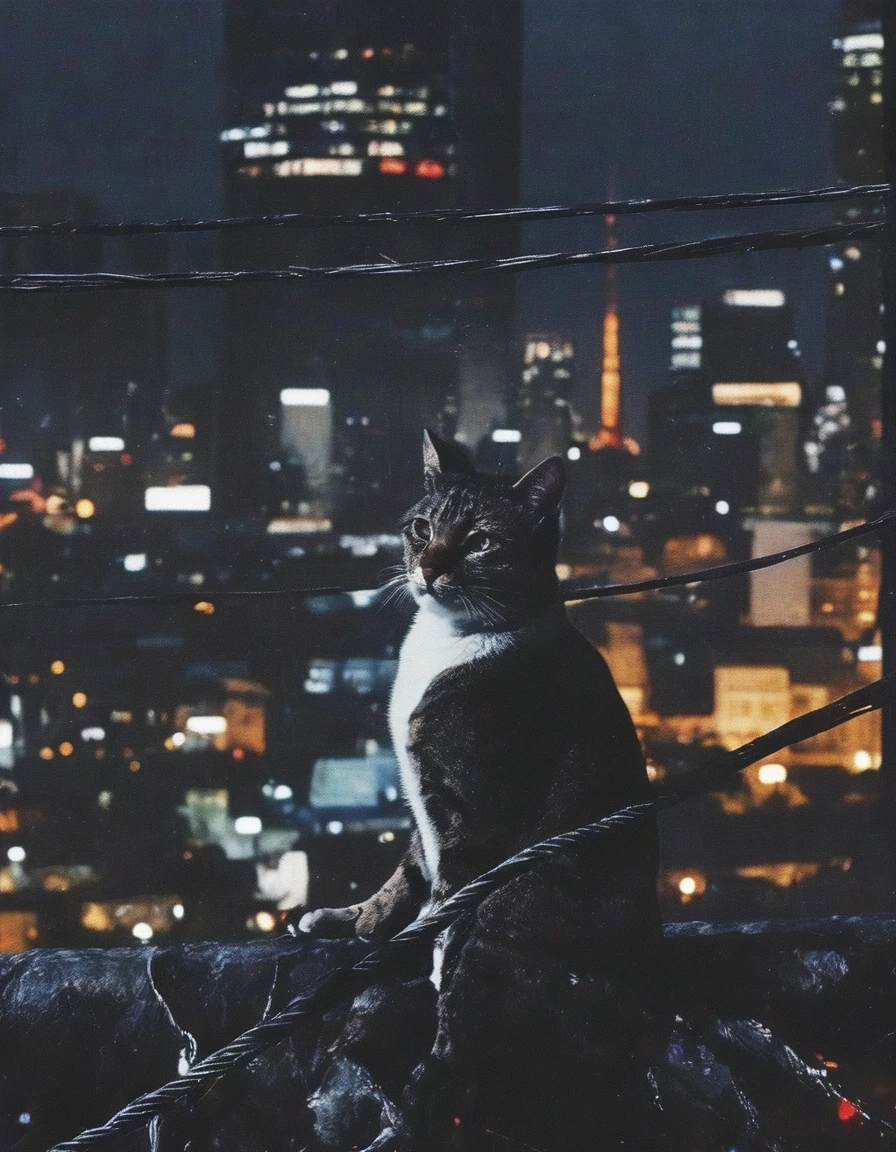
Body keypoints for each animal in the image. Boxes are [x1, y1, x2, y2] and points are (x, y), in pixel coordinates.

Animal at [297, 430, 658, 1152]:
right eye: (421, 528)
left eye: (481, 541)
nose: (430, 566)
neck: (448, 643)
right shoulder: (422, 801)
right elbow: (404, 872)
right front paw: (356, 921)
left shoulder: (470, 809)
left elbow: (440, 901)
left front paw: (411, 952)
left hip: (506, 922)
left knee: (457, 1053)